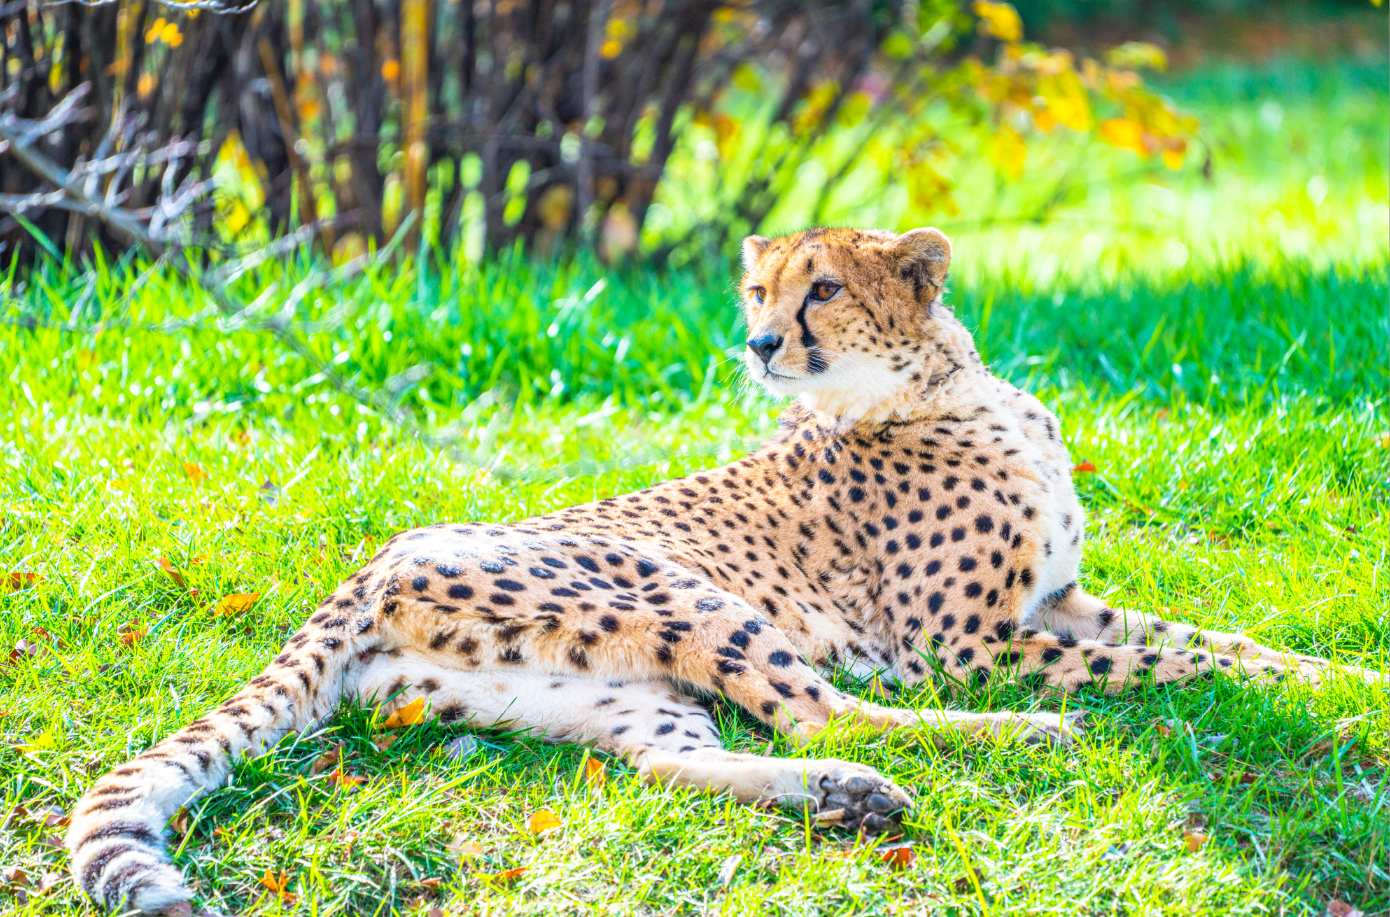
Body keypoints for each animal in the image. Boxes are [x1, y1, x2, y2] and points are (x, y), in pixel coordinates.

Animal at [66, 226, 1379, 914]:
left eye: (824, 289)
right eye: (758, 289)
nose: (754, 341)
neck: (941, 389)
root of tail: (362, 562)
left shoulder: (1057, 600)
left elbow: (1214, 641)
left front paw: (1331, 671)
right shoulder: (972, 643)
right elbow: (1166, 665)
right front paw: (1328, 692)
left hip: (589, 684)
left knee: (673, 756)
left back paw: (845, 797)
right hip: (675, 588)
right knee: (826, 706)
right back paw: (1015, 741)